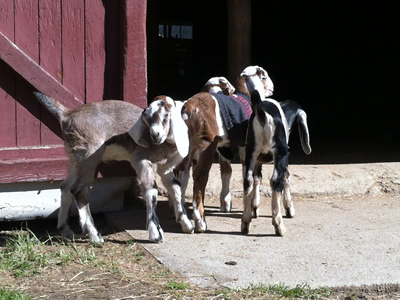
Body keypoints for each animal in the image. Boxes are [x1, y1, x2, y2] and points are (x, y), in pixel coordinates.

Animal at [32, 92, 192, 243]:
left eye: (166, 116)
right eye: (146, 118)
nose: (155, 135)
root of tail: (67, 114)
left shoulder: (165, 168)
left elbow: (176, 187)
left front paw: (186, 224)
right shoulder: (141, 159)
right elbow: (151, 191)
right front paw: (156, 234)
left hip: (75, 158)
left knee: (65, 187)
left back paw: (66, 231)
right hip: (89, 154)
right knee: (79, 190)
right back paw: (95, 236)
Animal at [241, 90, 312, 236]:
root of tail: (261, 112)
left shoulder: (256, 159)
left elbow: (257, 178)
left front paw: (254, 208)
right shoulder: (283, 157)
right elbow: (287, 177)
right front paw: (289, 208)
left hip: (251, 150)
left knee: (248, 180)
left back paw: (245, 222)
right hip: (280, 152)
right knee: (275, 180)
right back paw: (279, 226)